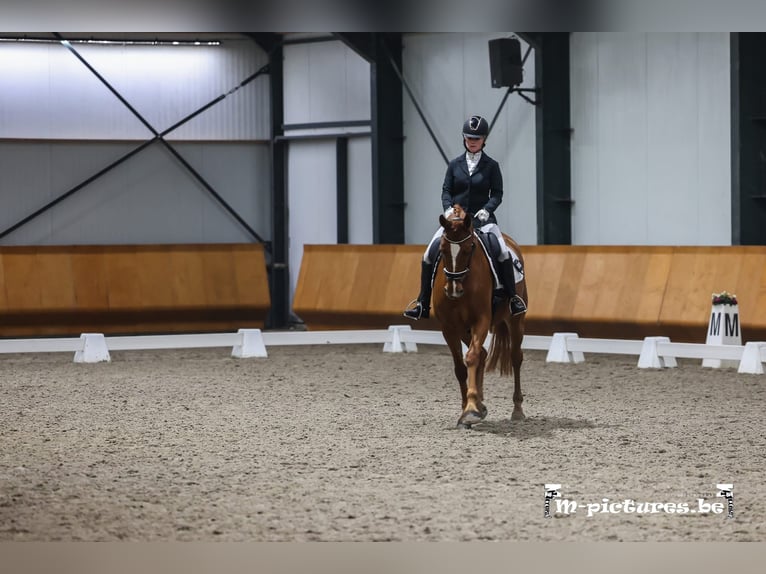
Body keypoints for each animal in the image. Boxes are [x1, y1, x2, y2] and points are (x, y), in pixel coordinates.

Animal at [432, 206, 528, 428]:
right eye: (442, 249)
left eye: (469, 248)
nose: (453, 290)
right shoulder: (449, 327)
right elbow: (461, 367)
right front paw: (468, 409)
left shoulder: (481, 320)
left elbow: (471, 357)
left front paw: (471, 409)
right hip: (464, 329)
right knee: (483, 354)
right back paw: (481, 404)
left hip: (515, 321)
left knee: (515, 357)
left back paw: (517, 410)